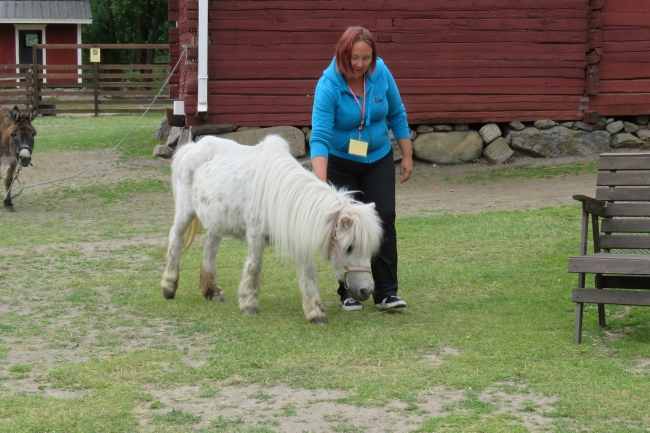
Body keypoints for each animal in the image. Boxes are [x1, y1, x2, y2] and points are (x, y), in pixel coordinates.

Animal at [162, 134, 382, 320]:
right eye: (349, 247)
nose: (367, 290)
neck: (278, 192)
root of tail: (192, 147)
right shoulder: (255, 235)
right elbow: (254, 266)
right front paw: (249, 303)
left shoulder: (299, 234)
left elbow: (308, 271)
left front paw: (315, 311)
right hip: (185, 211)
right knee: (176, 238)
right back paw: (169, 285)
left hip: (217, 220)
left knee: (209, 248)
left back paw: (212, 291)